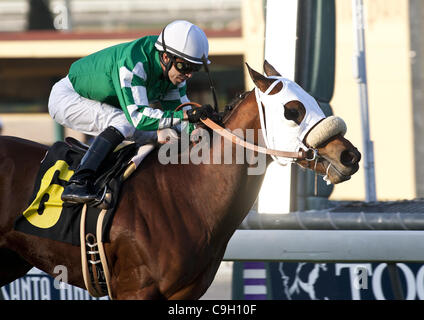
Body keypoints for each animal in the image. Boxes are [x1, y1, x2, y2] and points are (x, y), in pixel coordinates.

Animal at [0, 61, 362, 298]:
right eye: (292, 111)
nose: (350, 156)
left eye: (315, 100)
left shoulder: (183, 294)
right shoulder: (135, 291)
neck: (185, 194)